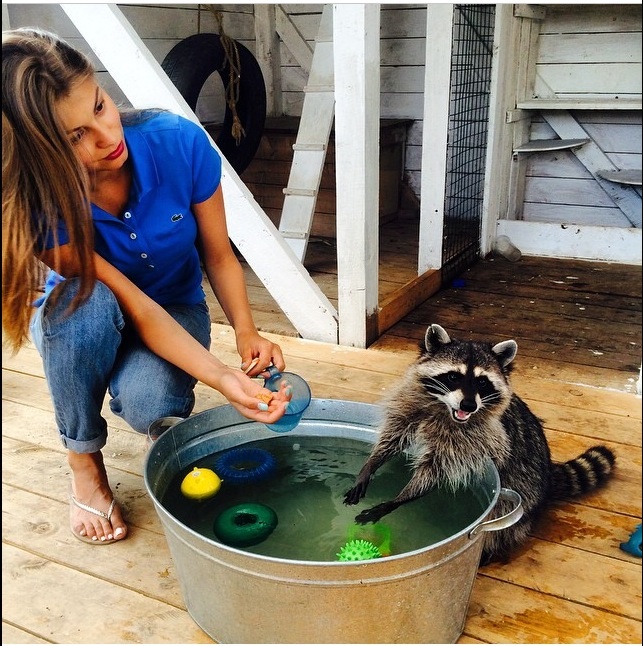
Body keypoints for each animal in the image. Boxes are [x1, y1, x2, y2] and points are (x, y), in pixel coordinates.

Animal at [344, 326, 616, 564]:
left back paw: (492, 548)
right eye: (453, 376)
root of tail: (548, 471)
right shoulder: (410, 404)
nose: (468, 405)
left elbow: (436, 470)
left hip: (525, 490)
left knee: (504, 520)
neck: (444, 408)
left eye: (483, 382)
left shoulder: (475, 439)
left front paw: (400, 498)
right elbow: (393, 435)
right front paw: (371, 464)